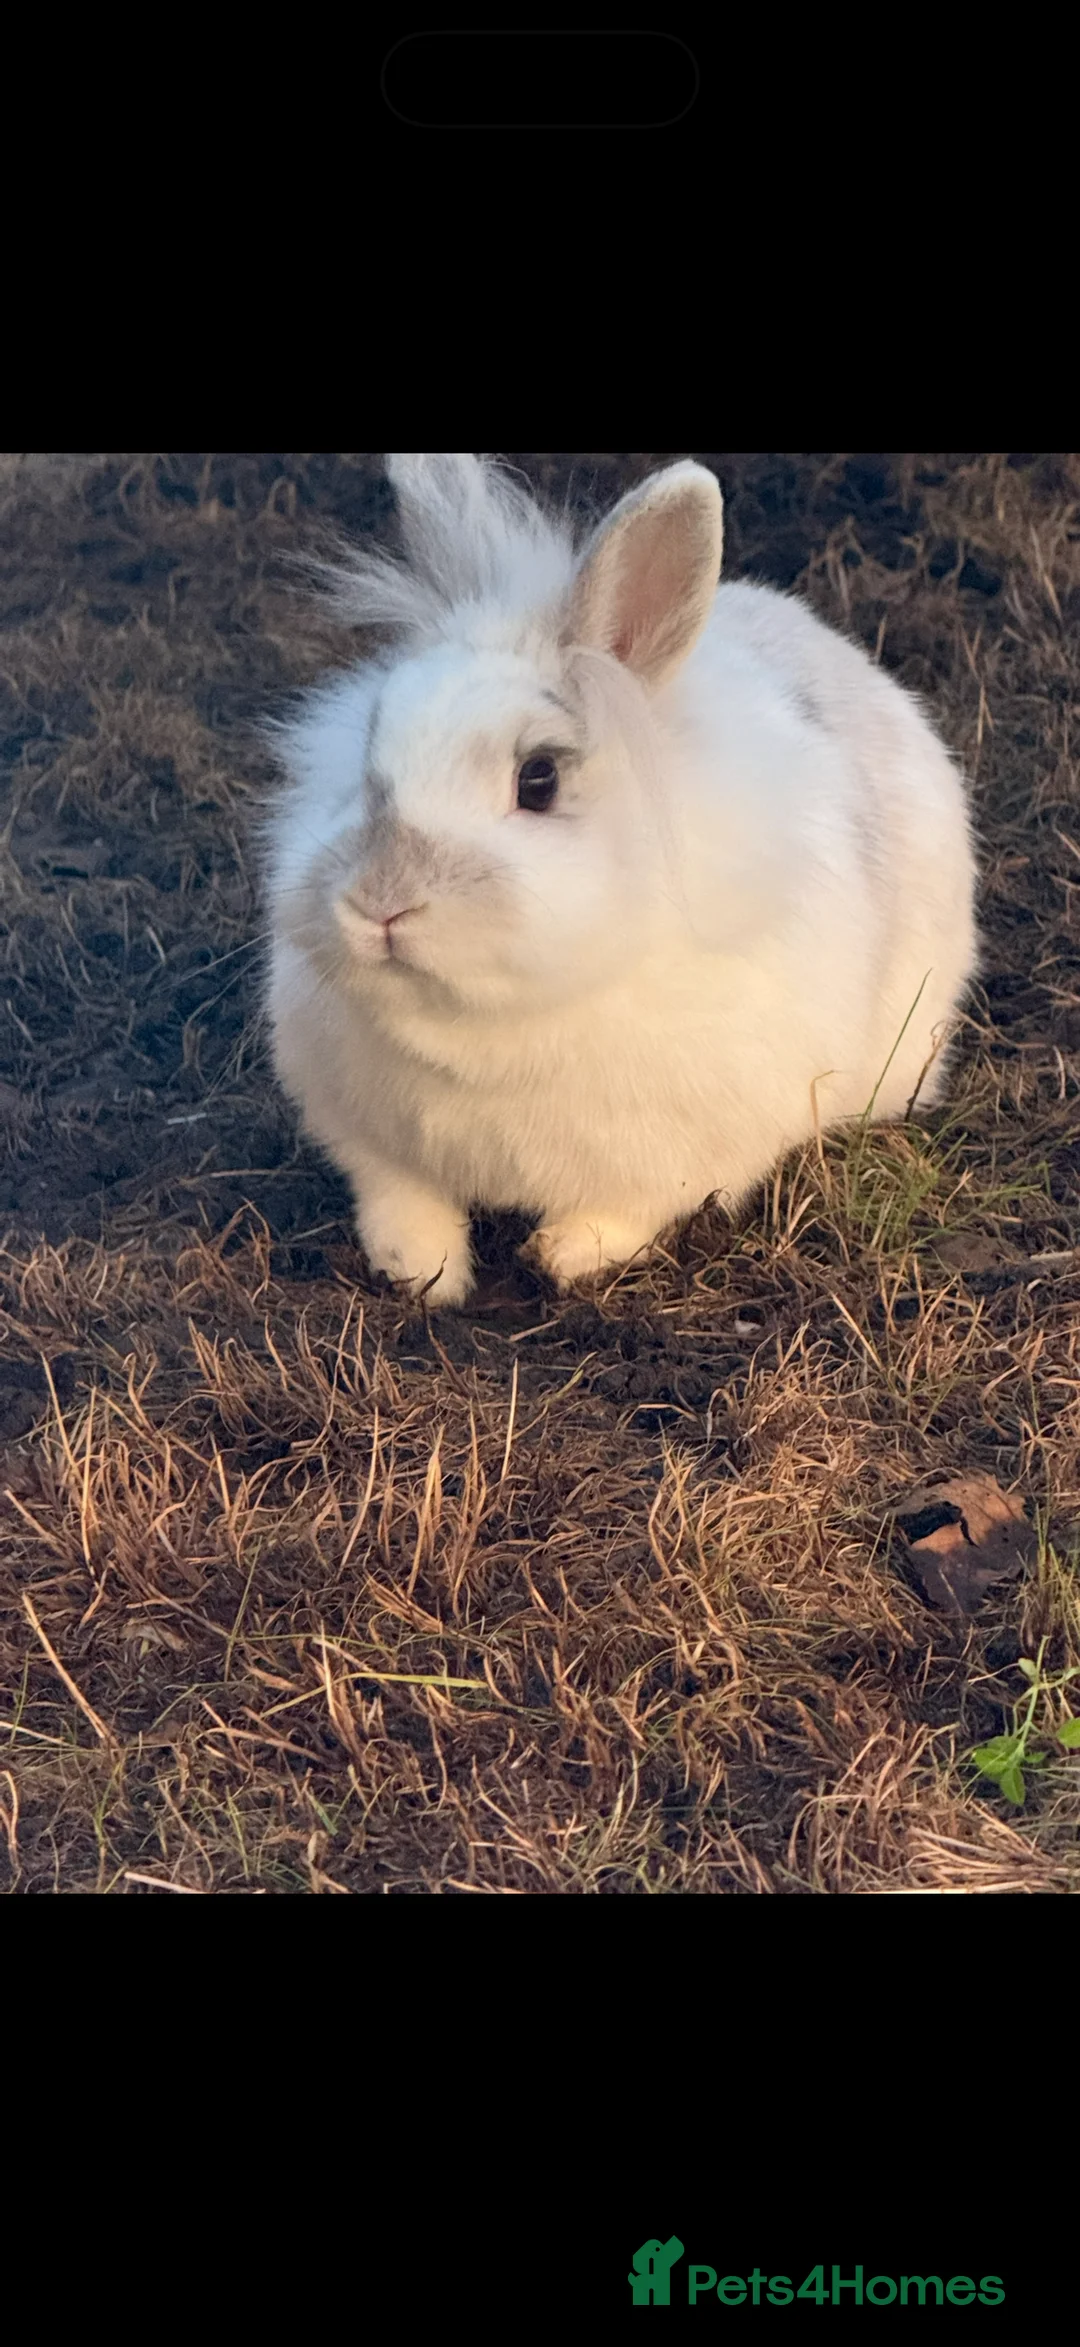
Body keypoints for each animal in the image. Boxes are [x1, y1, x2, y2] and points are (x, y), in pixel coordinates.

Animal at [263, 453, 977, 1307]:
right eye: (370, 752)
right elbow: (401, 1196)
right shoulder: (366, 1136)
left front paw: (564, 1253)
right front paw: (424, 1271)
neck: (481, 1026)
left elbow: (633, 1206)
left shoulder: (693, 1149)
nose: (380, 904)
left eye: (539, 779)